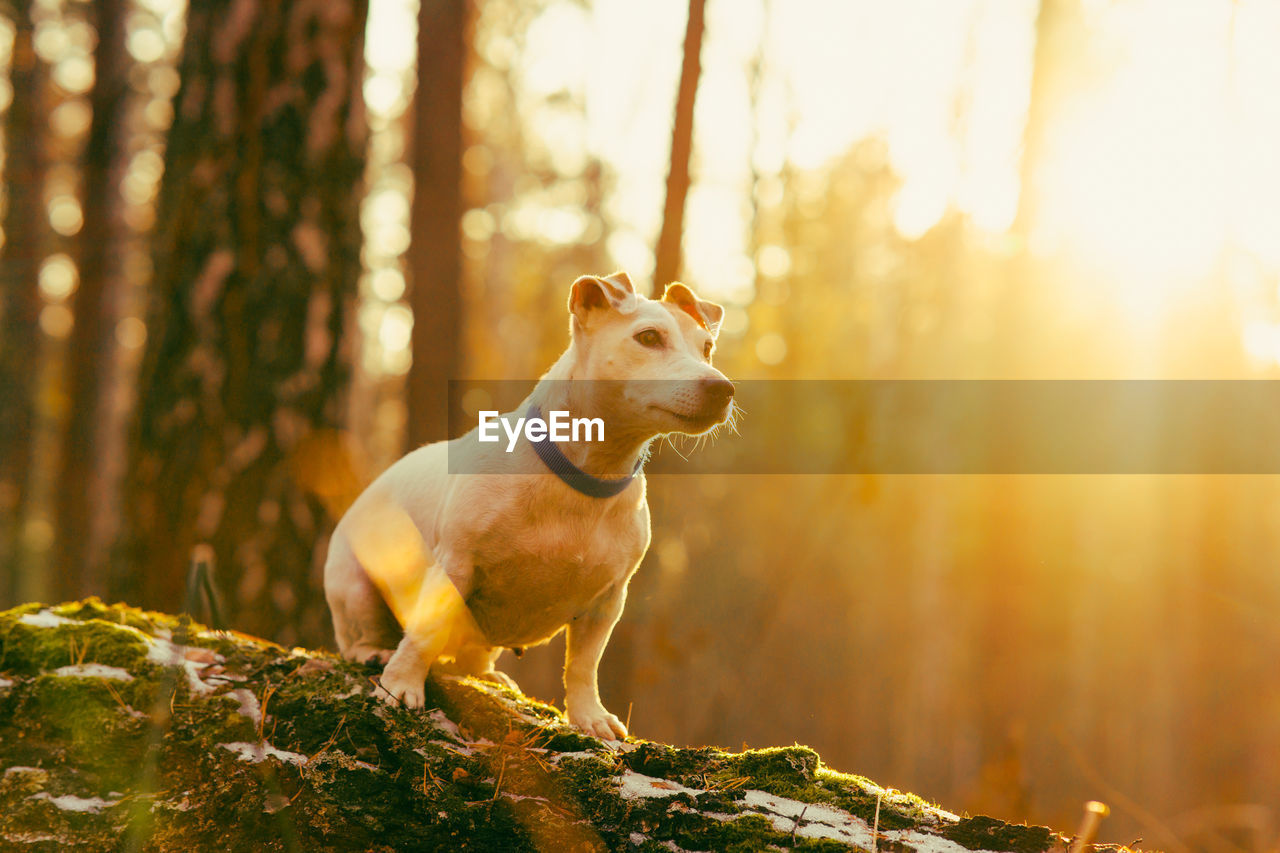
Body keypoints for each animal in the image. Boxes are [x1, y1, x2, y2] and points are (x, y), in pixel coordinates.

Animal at [325, 270, 737, 737]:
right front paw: (400, 686)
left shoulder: (607, 601)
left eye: (707, 347)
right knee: (360, 635)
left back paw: (488, 674)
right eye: (648, 337)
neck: (586, 473)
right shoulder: (455, 564)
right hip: (356, 587)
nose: (722, 388)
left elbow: (583, 664)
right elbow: (425, 631)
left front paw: (590, 716)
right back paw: (373, 653)